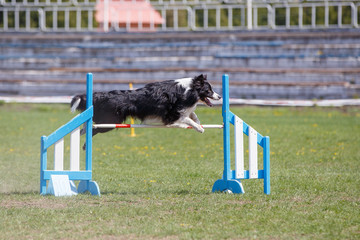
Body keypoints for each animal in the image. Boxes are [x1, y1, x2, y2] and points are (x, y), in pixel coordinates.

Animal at [70, 74, 221, 136]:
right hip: (110, 121)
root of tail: (101, 95)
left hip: (109, 121)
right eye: (209, 90)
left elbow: (192, 114)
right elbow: (186, 118)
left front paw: (197, 122)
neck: (187, 89)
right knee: (92, 124)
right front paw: (199, 128)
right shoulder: (171, 114)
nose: (220, 97)